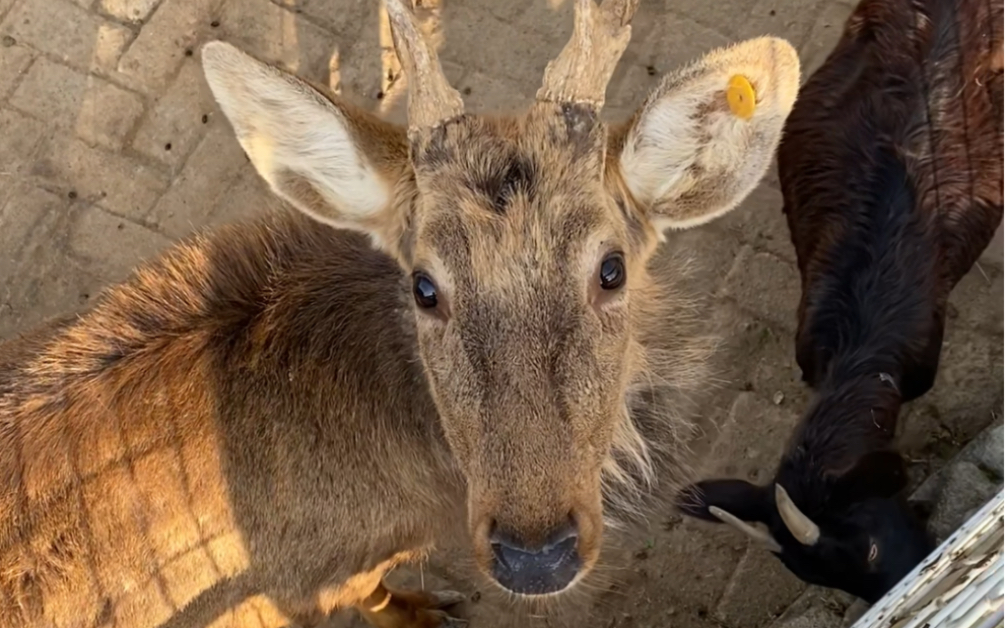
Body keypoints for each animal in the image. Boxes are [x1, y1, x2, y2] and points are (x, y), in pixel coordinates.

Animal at [0, 1, 799, 626]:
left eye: (611, 268)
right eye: (424, 286)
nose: (535, 553)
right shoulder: (314, 579)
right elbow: (378, 598)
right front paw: (428, 610)